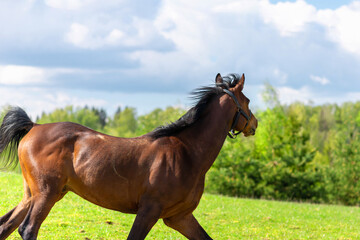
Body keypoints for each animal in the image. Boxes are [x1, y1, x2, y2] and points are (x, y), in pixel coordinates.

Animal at [0, 73, 258, 240]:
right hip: (47, 194)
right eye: (247, 101)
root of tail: (34, 126)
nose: (254, 124)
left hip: (34, 194)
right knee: (28, 229)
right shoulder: (149, 210)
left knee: (7, 226)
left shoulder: (180, 217)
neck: (186, 153)